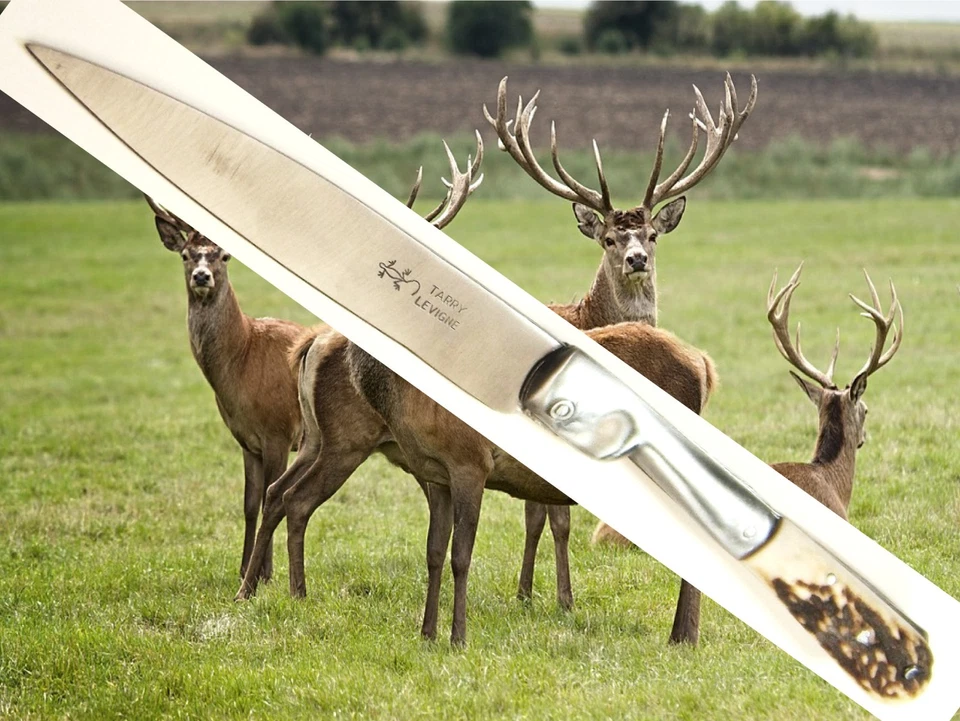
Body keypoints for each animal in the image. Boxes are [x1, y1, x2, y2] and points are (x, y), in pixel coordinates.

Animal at [484, 73, 756, 641]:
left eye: (652, 234)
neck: (585, 317)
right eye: (609, 237)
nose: (636, 259)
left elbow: (547, 514)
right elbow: (544, 514)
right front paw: (536, 595)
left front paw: (548, 597)